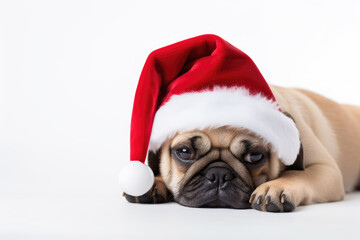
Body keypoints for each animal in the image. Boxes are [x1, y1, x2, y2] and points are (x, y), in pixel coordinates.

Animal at [124, 84, 360, 212]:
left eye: (254, 156)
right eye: (184, 152)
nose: (218, 174)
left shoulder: (325, 169)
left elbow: (298, 174)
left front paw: (275, 187)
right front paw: (153, 181)